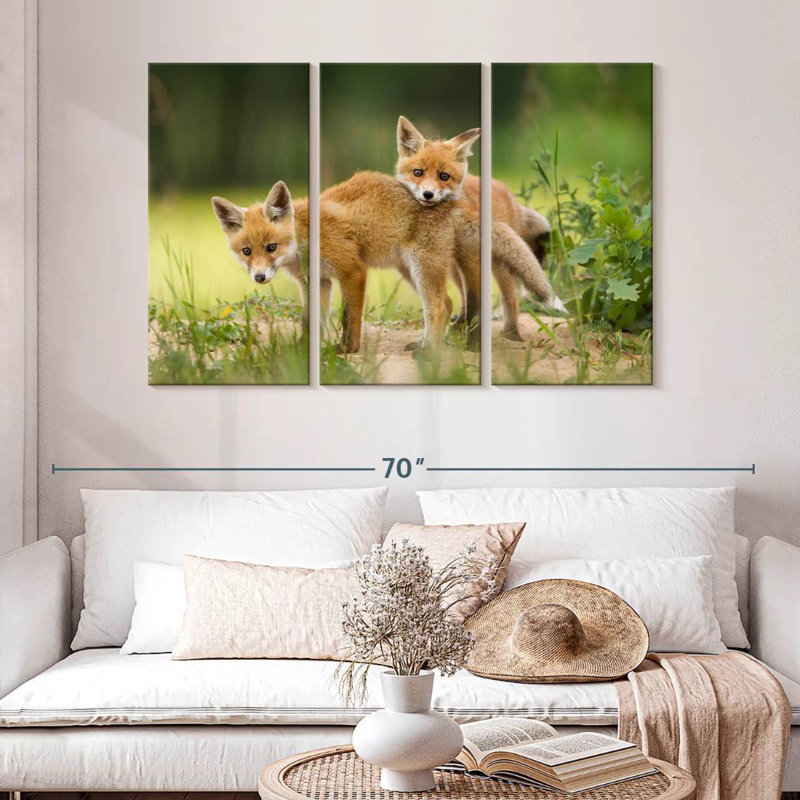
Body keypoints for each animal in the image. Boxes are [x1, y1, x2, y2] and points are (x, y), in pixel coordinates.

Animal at [394, 115, 564, 342]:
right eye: (418, 173)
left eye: (444, 176)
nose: (428, 194)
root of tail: (507, 192)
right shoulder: (458, 262)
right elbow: (467, 299)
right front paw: (461, 330)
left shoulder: (471, 259)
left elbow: (475, 300)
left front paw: (471, 337)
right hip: (455, 266)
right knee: (465, 296)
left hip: (499, 264)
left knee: (510, 299)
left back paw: (512, 334)